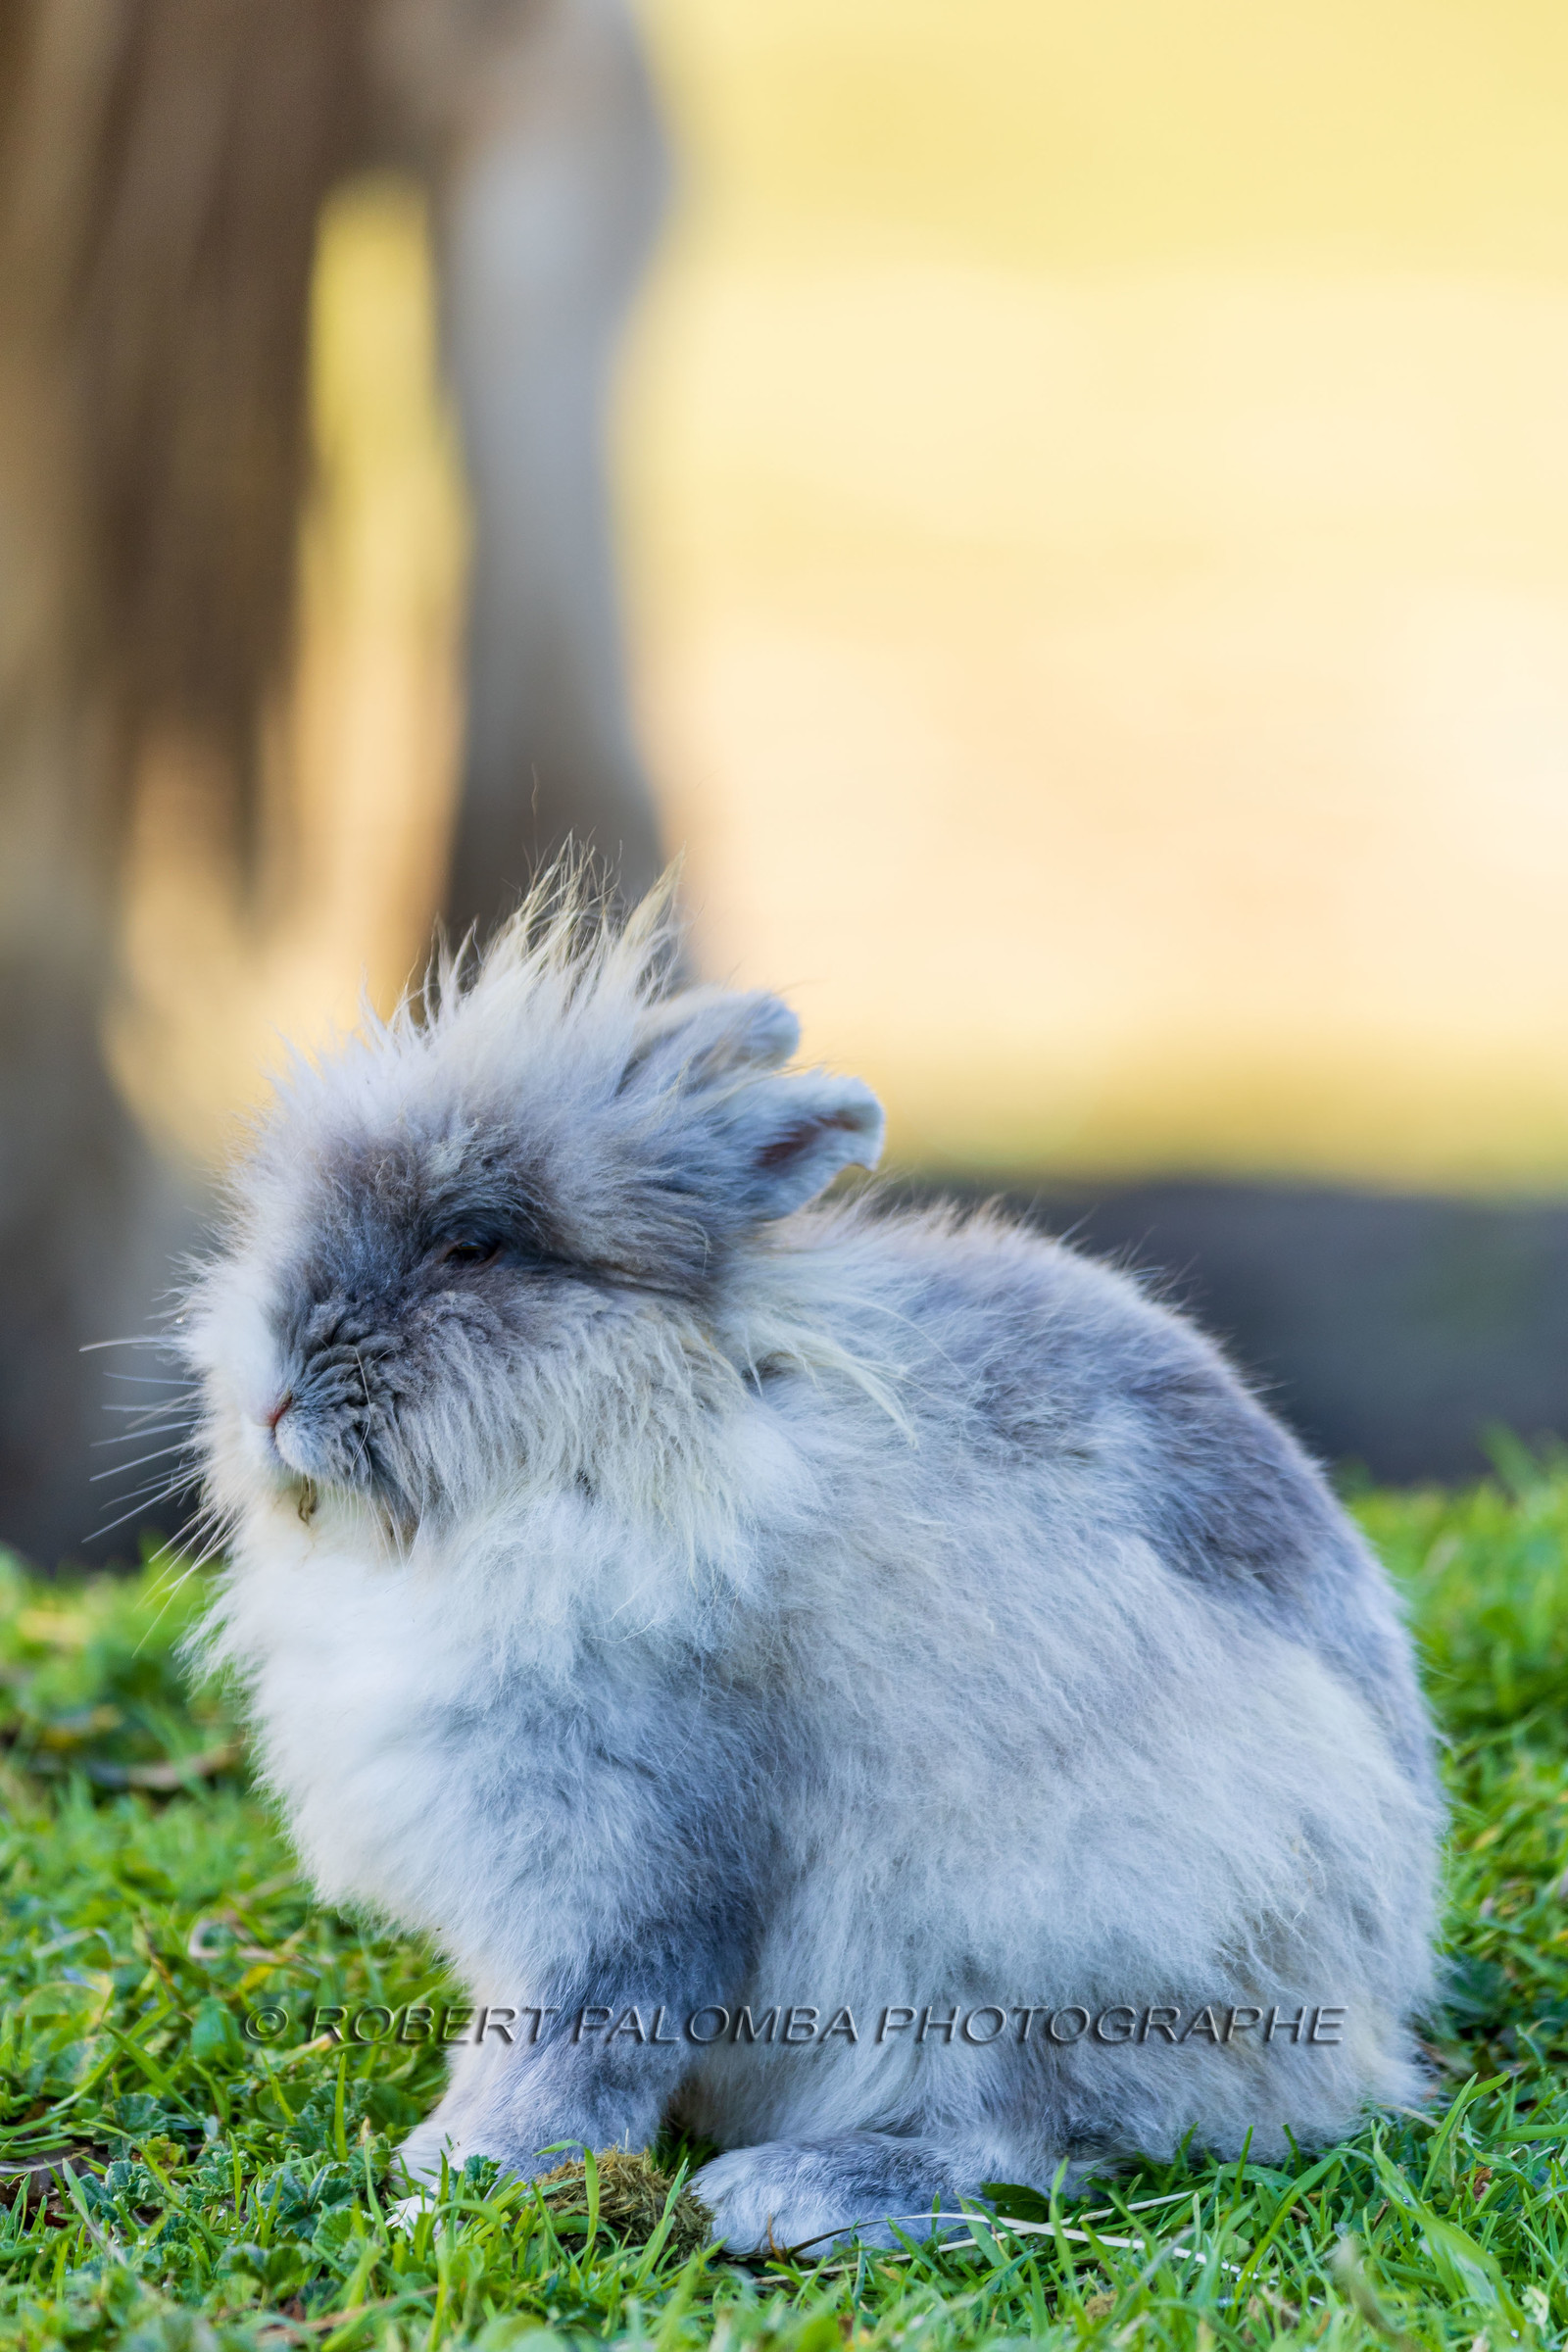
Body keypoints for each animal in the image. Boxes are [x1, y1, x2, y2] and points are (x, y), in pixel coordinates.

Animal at [183, 871, 1441, 2254]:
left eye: (476, 1246)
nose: (266, 1399)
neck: (623, 1433)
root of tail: (1372, 2012)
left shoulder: (632, 1858)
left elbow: (585, 2029)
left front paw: (472, 2177)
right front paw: (445, 2154)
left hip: (1053, 1932)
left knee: (1037, 2132)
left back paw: (787, 2195)